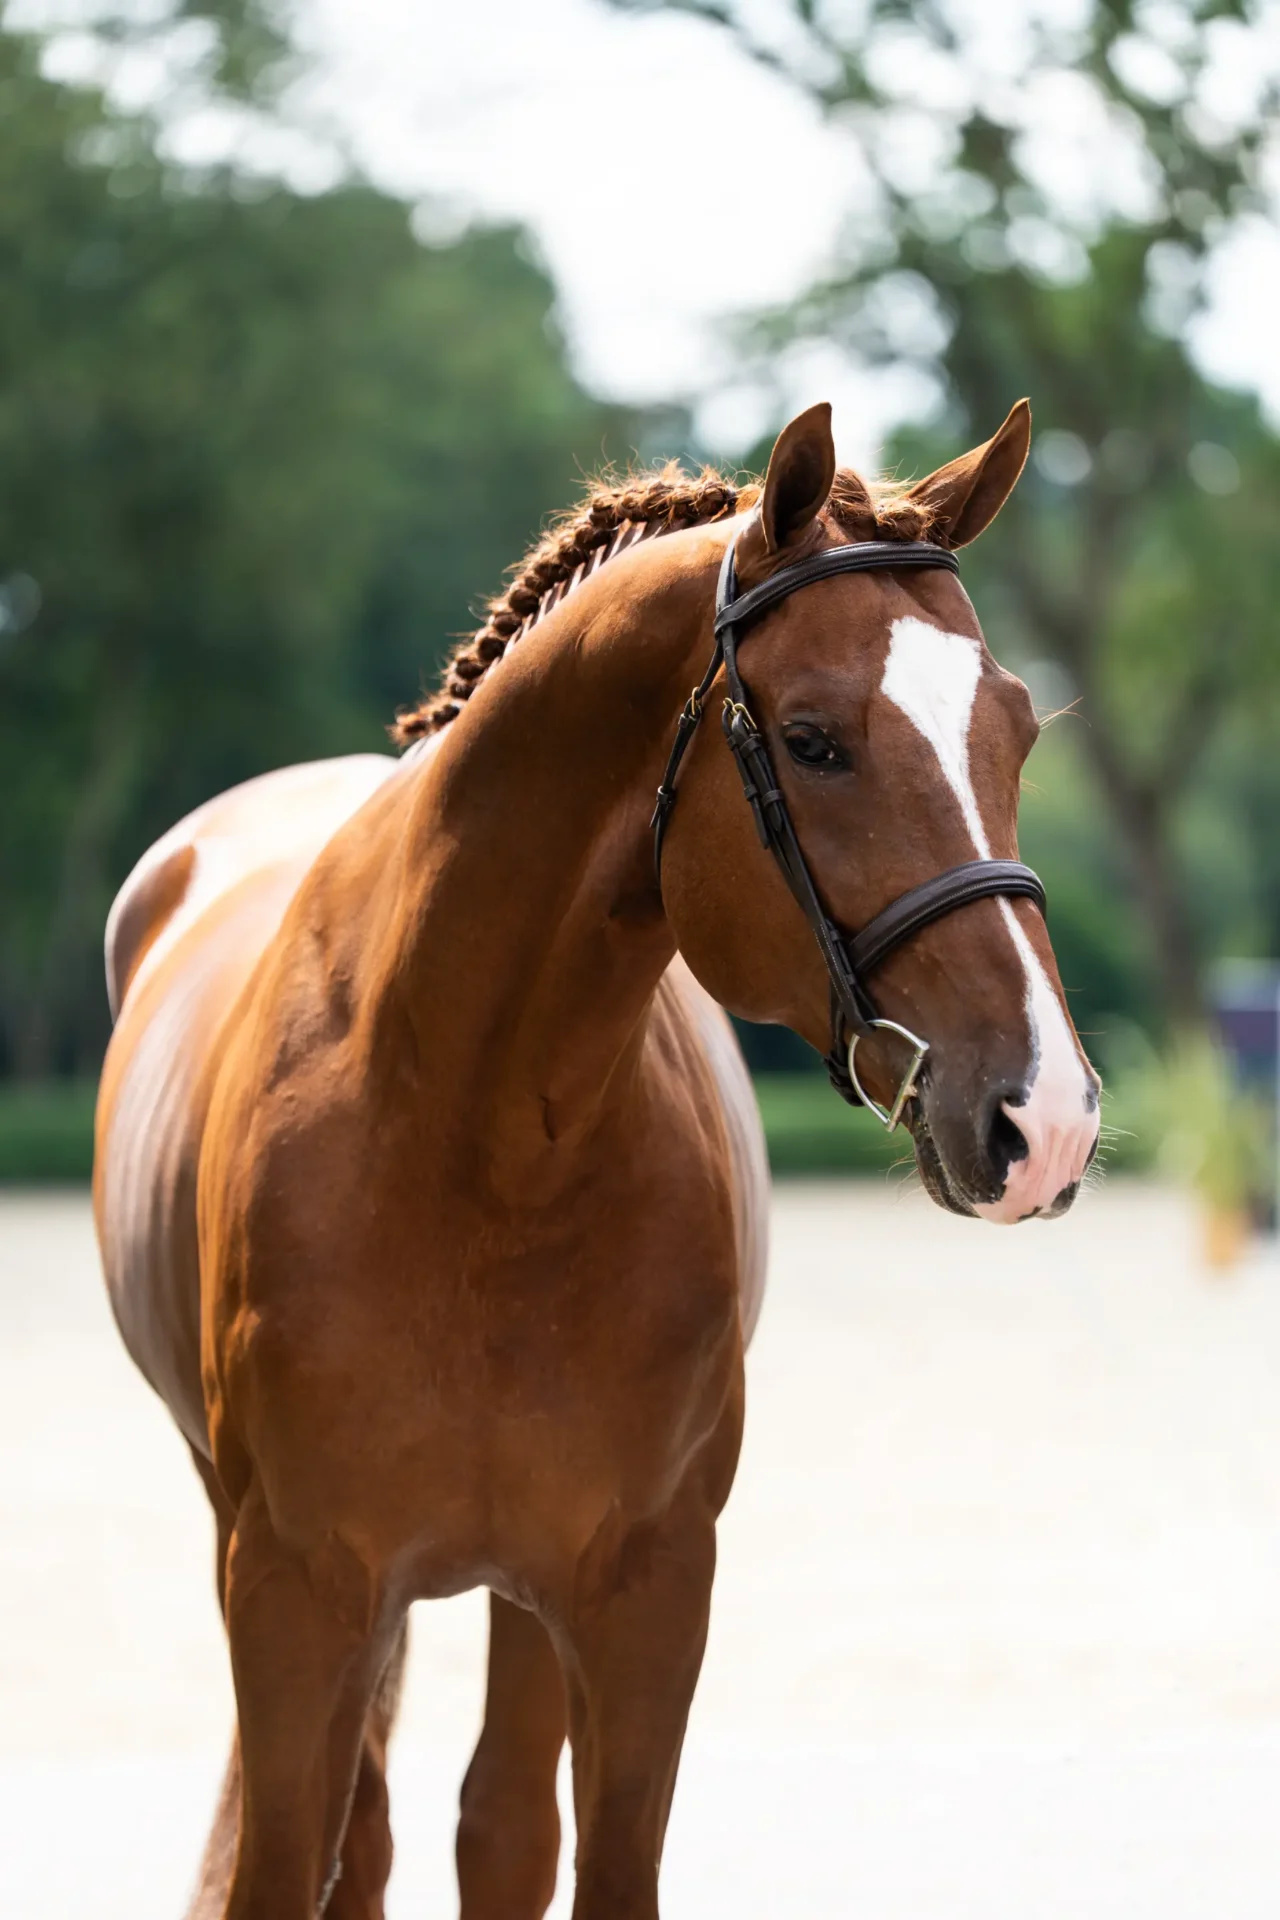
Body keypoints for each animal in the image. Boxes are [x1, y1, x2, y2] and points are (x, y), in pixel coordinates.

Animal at [93, 399, 1100, 1920]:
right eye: (813, 740)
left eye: (1017, 730)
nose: (1043, 1119)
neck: (480, 1141)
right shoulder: (294, 1589)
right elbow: (295, 1860)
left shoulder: (644, 1589)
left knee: (495, 1827)